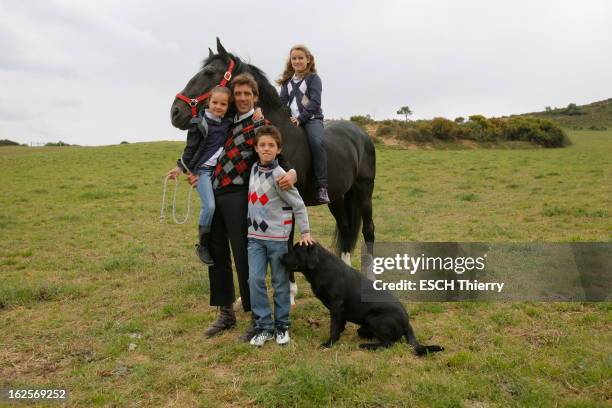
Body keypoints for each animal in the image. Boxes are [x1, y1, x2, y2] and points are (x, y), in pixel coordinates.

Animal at [170, 39, 376, 264]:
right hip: (337, 196)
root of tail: (361, 134)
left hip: (364, 191)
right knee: (346, 228)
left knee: (368, 230)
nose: (175, 112)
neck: (278, 134)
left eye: (209, 71)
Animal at [282, 244, 444, 356]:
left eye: (296, 251)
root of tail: (407, 323)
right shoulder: (339, 310)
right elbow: (340, 324)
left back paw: (367, 346)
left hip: (374, 318)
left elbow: (333, 327)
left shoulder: (336, 305)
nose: (281, 257)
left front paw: (329, 343)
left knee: (388, 343)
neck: (321, 267)